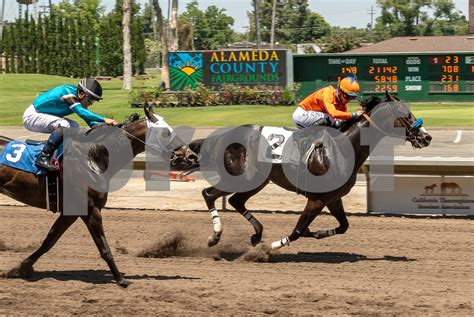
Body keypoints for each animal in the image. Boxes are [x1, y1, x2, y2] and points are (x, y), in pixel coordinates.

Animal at [0, 106, 196, 286]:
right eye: (165, 132)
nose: (191, 156)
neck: (94, 157)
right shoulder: (90, 209)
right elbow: (104, 248)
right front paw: (121, 279)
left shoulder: (71, 212)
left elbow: (50, 240)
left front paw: (22, 268)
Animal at [188, 92, 430, 248]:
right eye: (405, 113)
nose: (426, 137)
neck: (341, 148)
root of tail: (222, 136)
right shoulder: (316, 199)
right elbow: (297, 231)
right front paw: (274, 246)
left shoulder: (333, 198)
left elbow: (343, 226)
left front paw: (317, 233)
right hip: (241, 178)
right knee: (209, 194)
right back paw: (216, 236)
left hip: (257, 181)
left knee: (235, 201)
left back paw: (256, 235)